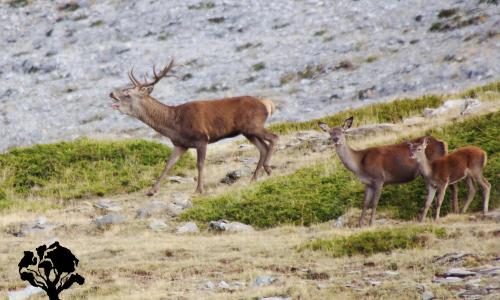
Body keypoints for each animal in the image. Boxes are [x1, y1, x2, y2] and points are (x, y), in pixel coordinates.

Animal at [109, 59, 278, 193]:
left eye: (127, 94)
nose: (111, 93)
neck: (174, 124)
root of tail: (267, 103)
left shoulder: (202, 138)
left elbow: (200, 164)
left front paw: (199, 189)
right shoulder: (180, 144)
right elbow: (168, 165)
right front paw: (152, 190)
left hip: (253, 126)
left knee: (274, 137)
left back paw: (268, 168)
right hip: (247, 131)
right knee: (263, 147)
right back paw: (256, 176)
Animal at [320, 116, 454, 226]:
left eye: (343, 131)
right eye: (330, 133)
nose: (336, 139)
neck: (359, 164)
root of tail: (443, 143)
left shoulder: (379, 178)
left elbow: (374, 203)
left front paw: (371, 224)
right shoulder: (368, 183)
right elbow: (365, 203)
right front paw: (359, 225)